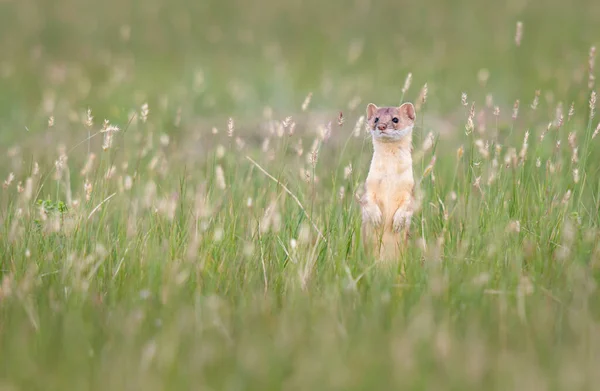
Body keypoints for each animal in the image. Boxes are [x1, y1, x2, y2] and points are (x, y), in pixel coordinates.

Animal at [358, 102, 414, 264]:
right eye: (376, 119)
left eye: (395, 119)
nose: (382, 126)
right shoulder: (369, 184)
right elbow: (368, 200)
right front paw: (376, 217)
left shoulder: (409, 187)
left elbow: (408, 204)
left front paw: (398, 221)